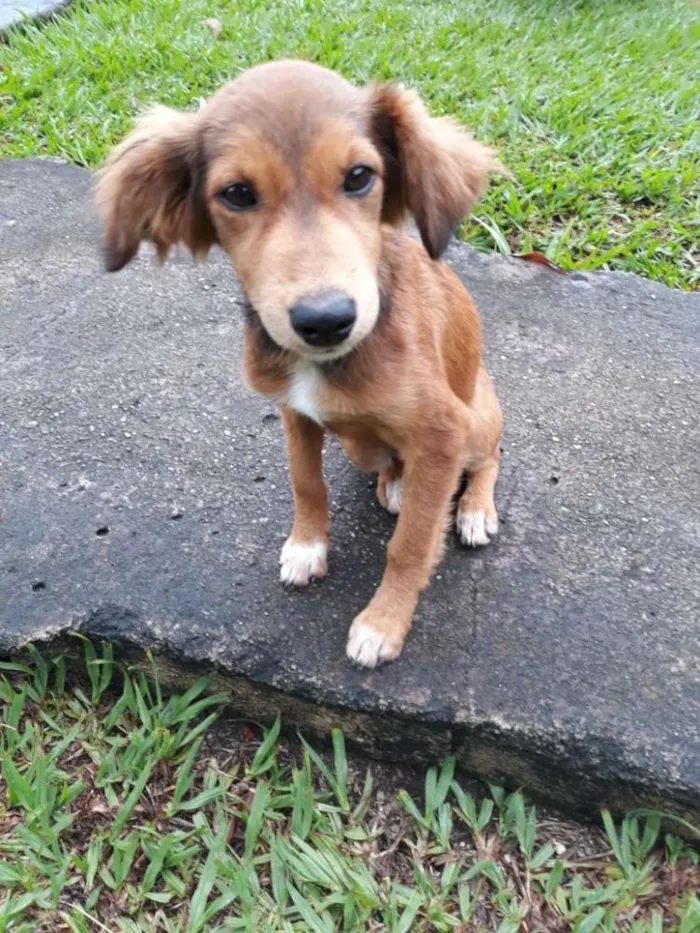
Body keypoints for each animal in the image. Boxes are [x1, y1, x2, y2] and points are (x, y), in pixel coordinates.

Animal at [98, 58, 504, 668]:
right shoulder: (295, 413)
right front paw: (307, 547)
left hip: (477, 419)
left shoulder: (442, 431)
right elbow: (306, 483)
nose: (326, 320)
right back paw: (397, 484)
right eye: (237, 193)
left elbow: (409, 545)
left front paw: (383, 624)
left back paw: (474, 509)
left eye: (359, 176)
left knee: (489, 458)